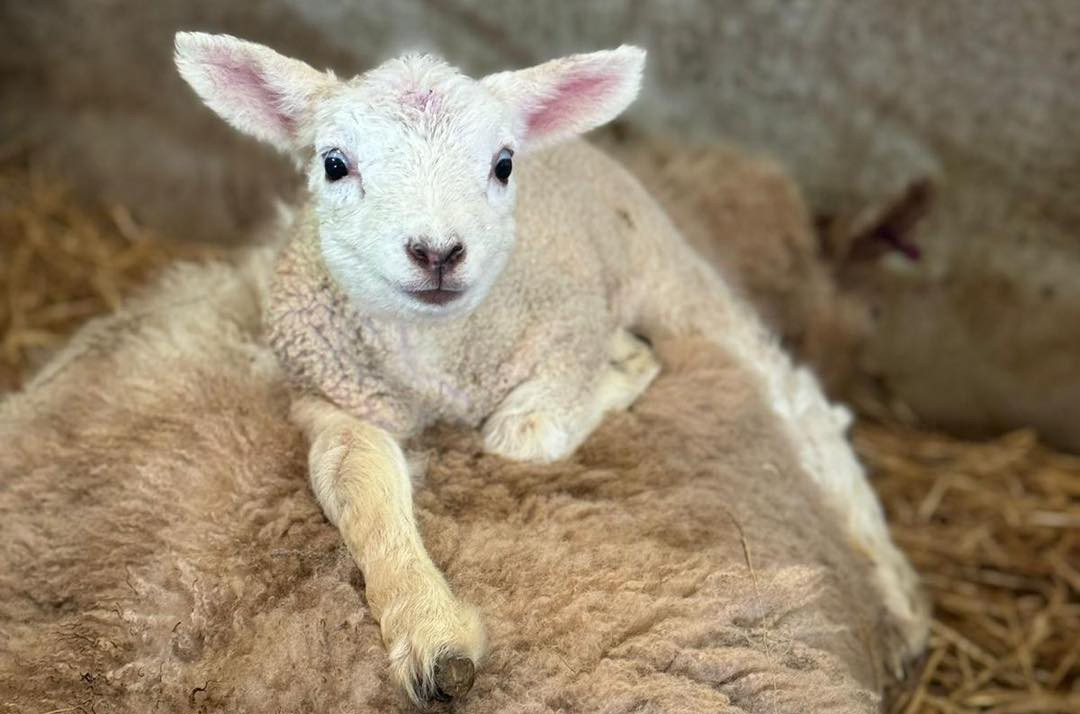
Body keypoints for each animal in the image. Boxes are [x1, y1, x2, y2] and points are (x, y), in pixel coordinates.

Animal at [173, 32, 927, 706]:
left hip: (668, 274)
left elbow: (523, 435)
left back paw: (898, 596)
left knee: (799, 401)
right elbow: (358, 482)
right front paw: (431, 633)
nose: (437, 252)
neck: (438, 359)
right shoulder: (329, 393)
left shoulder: (568, 333)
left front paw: (623, 370)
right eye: (334, 163)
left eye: (504, 164)